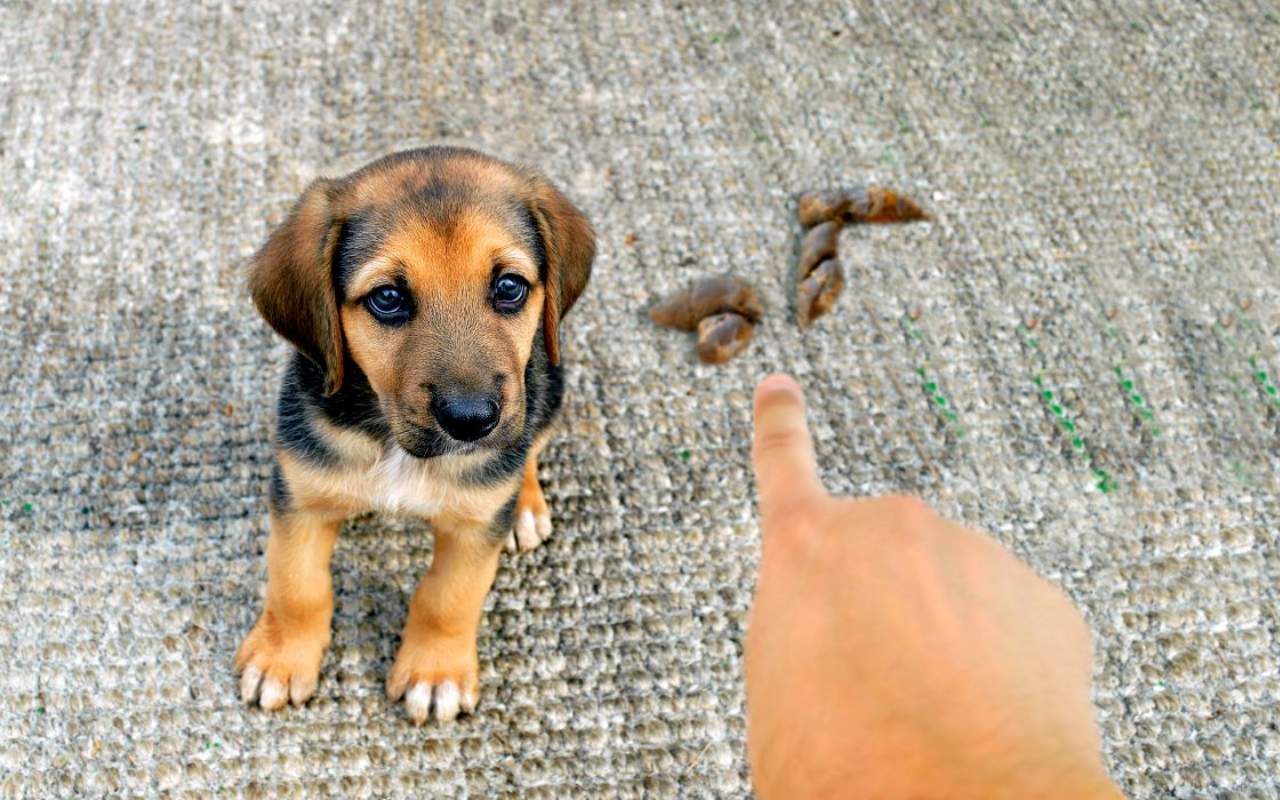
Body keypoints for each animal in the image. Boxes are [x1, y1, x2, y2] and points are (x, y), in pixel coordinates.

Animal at [235, 145, 593, 721]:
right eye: (387, 298)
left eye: (509, 287)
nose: (471, 421)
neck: (394, 445)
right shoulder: (300, 498)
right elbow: (297, 587)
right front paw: (281, 659)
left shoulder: (474, 528)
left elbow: (448, 598)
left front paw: (434, 672)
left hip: (549, 385)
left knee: (531, 445)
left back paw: (525, 506)